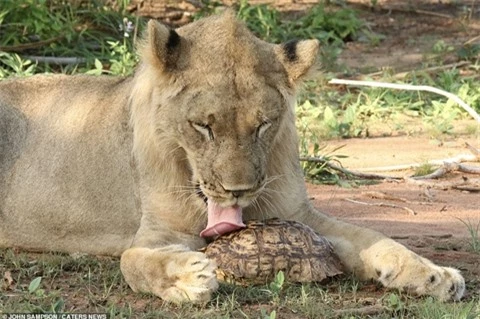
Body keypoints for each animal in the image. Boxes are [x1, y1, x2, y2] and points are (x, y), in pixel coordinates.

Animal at [0, 10, 464, 304]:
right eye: (203, 126)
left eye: (263, 125)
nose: (238, 191)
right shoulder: (157, 231)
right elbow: (134, 262)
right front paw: (188, 278)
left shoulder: (298, 215)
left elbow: (376, 238)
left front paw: (436, 275)